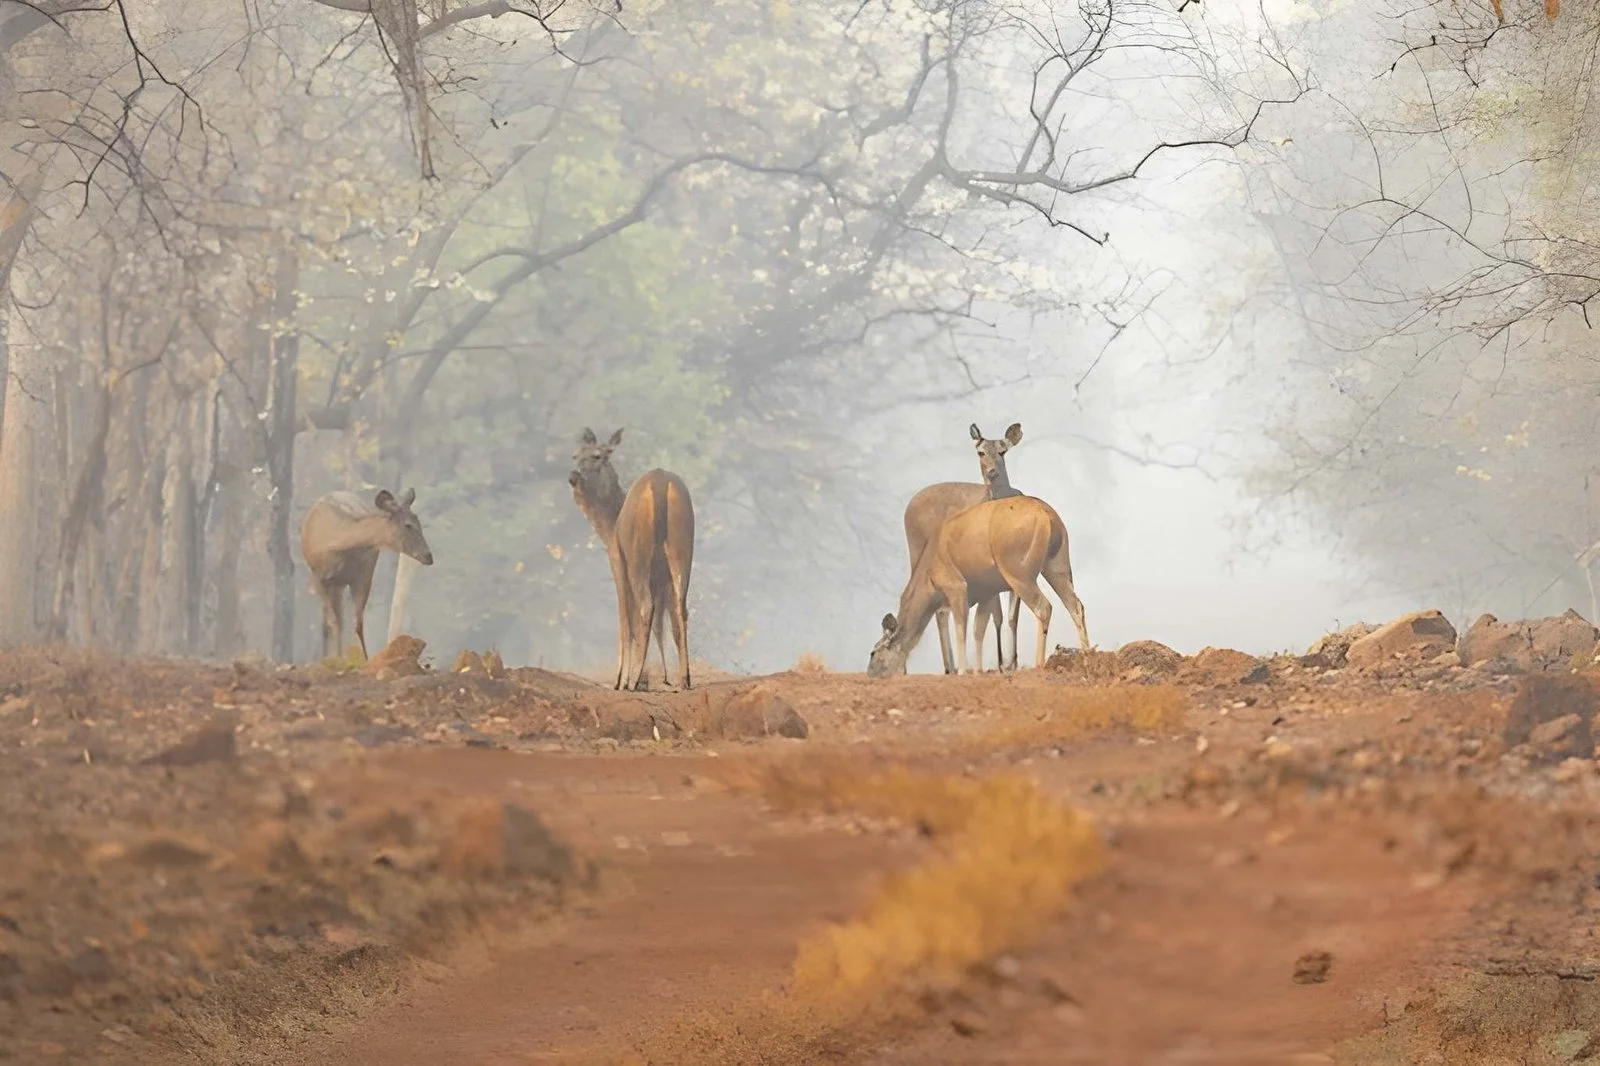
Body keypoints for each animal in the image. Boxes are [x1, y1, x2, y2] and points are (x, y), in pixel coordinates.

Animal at [300, 487, 434, 661]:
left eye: (419, 522)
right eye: (408, 525)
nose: (429, 556)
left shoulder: (364, 576)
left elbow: (358, 623)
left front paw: (365, 659)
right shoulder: (318, 578)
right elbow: (334, 622)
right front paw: (338, 658)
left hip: (342, 584)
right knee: (328, 622)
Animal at [568, 427, 695, 691]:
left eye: (598, 456)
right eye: (575, 455)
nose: (573, 476)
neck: (607, 528)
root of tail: (660, 484)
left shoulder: (617, 559)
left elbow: (626, 617)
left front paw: (622, 679)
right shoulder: (661, 580)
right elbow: (661, 623)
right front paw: (659, 676)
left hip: (638, 553)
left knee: (646, 606)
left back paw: (633, 680)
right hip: (683, 545)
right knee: (681, 608)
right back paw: (685, 678)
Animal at [868, 493, 1089, 678]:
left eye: (872, 652)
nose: (870, 673)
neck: (928, 575)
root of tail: (1047, 516)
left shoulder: (956, 587)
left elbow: (961, 628)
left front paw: (962, 671)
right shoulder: (987, 593)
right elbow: (978, 629)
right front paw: (977, 670)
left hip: (1019, 573)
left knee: (1044, 607)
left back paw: (1039, 664)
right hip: (1057, 566)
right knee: (1075, 605)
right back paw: (1088, 656)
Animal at [899, 422, 1025, 674]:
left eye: (1003, 451)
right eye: (980, 452)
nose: (992, 472)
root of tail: (908, 508)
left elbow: (1011, 617)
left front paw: (1011, 663)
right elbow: (996, 616)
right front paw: (1000, 664)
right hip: (918, 552)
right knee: (932, 605)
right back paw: (948, 666)